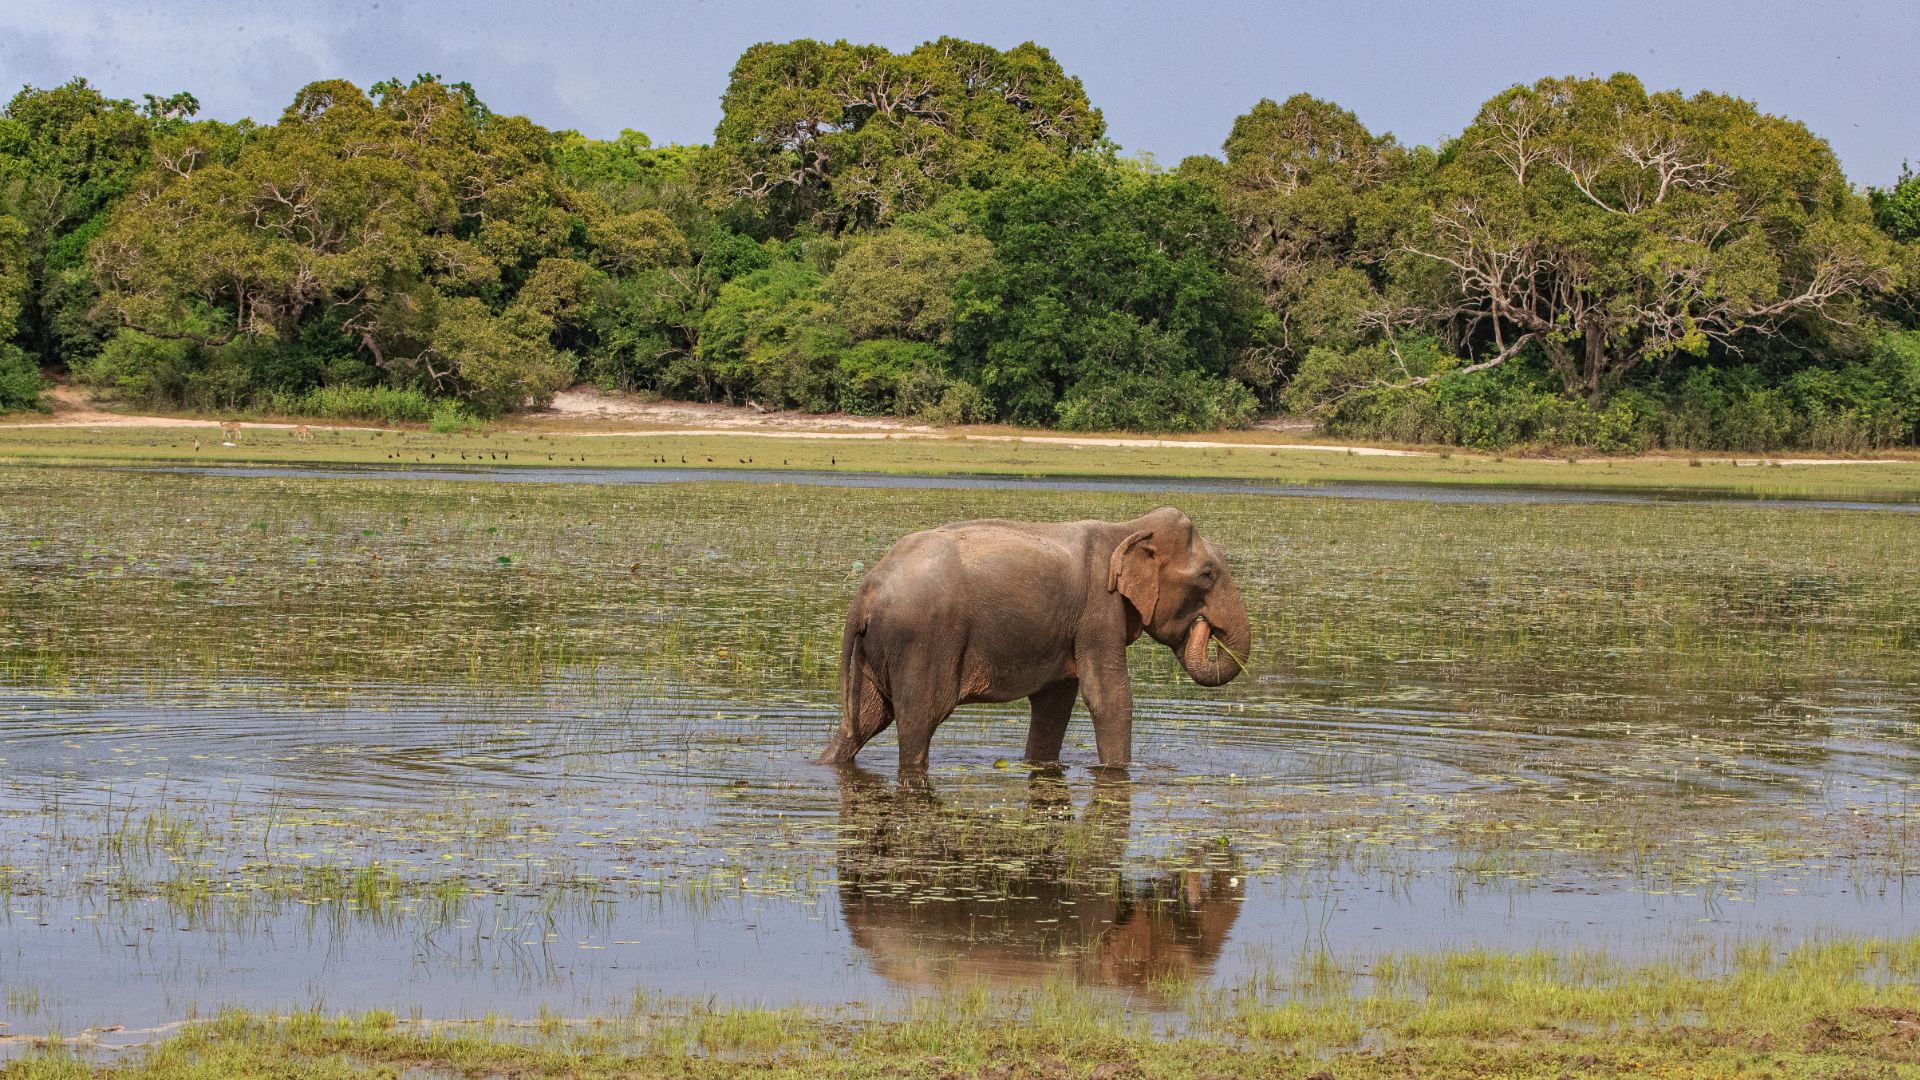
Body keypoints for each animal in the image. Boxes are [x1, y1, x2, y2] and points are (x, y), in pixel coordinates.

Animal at [817, 503, 1251, 764]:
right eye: (1207, 576)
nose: (1204, 626)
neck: (1128, 529)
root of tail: (867, 590)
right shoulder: (1099, 611)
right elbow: (1109, 697)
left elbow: (1054, 703)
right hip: (922, 645)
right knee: (917, 724)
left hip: (876, 651)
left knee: (863, 721)